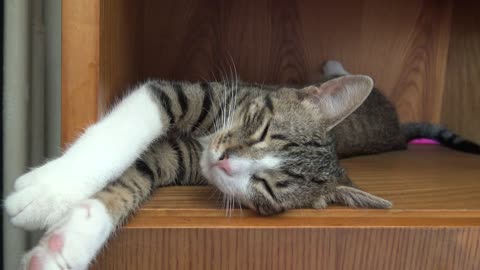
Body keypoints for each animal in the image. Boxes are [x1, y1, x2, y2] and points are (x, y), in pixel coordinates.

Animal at [4, 60, 480, 268]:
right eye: (263, 128)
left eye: (266, 187)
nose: (226, 161)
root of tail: (398, 127)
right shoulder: (192, 95)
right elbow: (135, 119)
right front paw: (50, 189)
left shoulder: (179, 160)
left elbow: (139, 174)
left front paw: (64, 244)